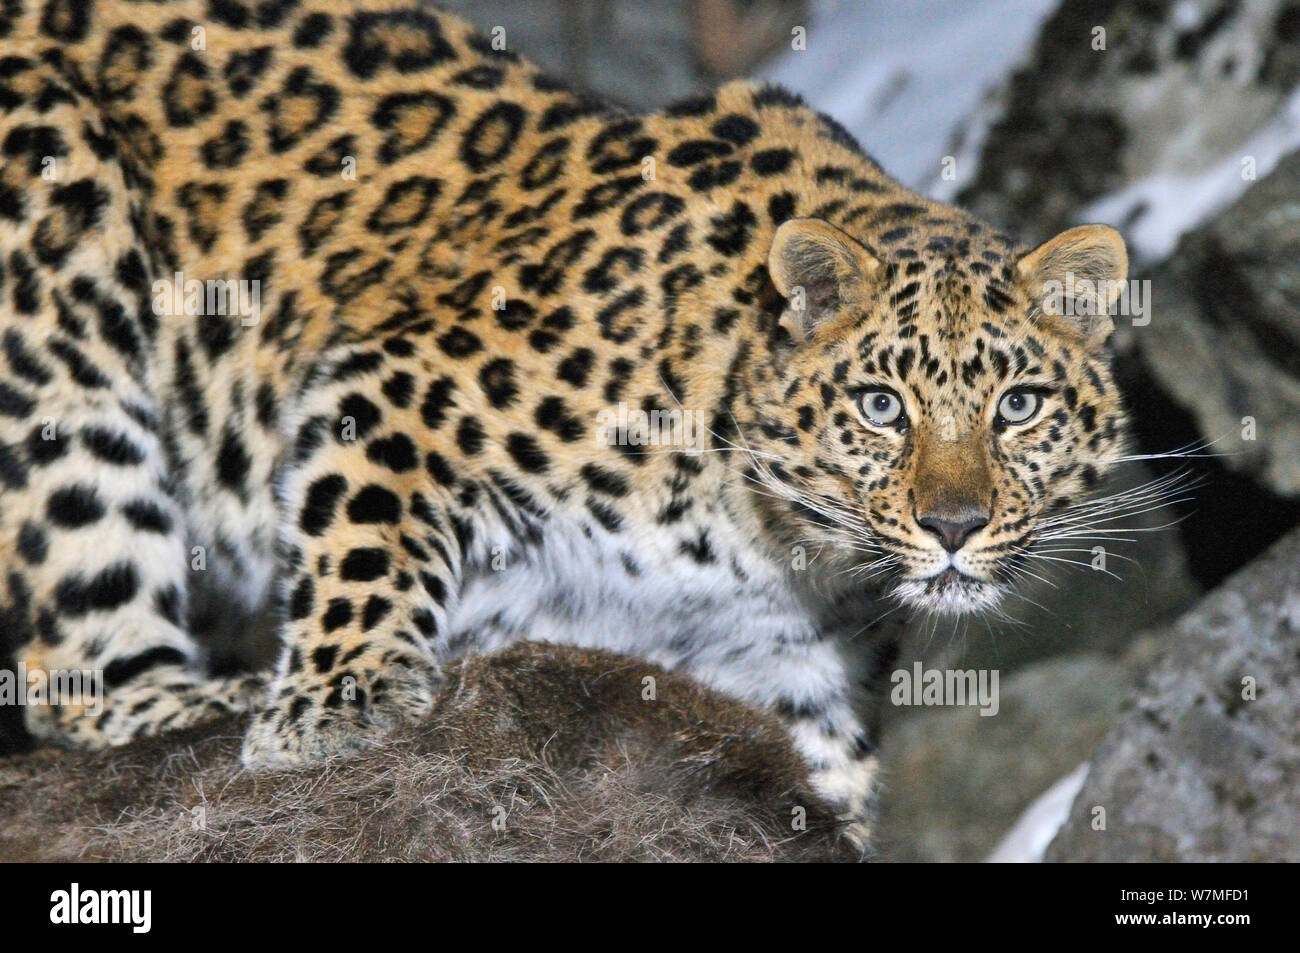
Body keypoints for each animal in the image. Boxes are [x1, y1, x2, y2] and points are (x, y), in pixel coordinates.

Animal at [0, 0, 1128, 852]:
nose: (954, 526)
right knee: (71, 669)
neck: (772, 538)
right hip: (59, 270)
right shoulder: (396, 381)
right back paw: (206, 698)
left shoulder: (785, 676)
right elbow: (366, 539)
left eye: (1017, 405)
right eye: (883, 405)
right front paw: (333, 712)